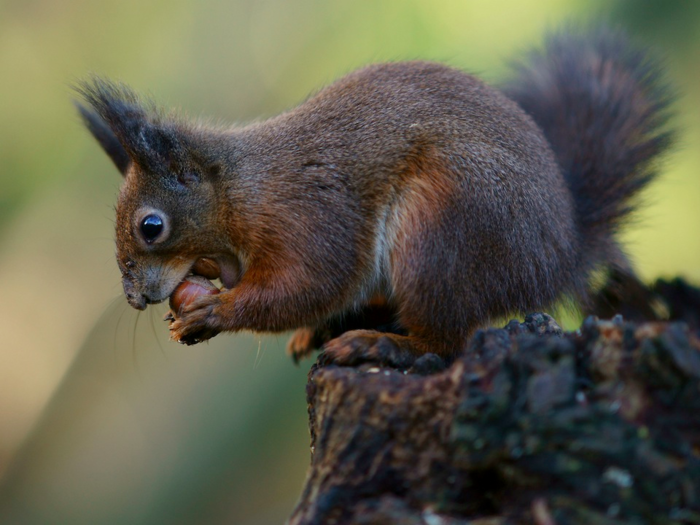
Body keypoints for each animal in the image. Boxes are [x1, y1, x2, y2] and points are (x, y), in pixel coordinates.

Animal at [75, 26, 672, 366]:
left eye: (151, 227)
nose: (134, 298)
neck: (243, 188)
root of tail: (560, 258)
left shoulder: (309, 211)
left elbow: (312, 282)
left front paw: (216, 311)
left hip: (443, 230)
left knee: (447, 342)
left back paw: (384, 345)